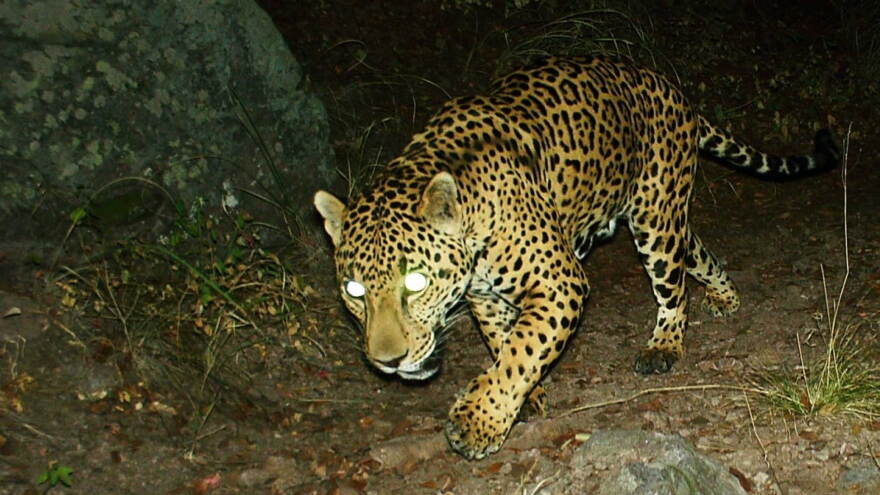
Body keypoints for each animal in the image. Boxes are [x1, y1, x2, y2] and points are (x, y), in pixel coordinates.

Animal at [314, 56, 838, 460]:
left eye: (416, 283)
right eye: (354, 291)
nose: (388, 362)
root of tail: (667, 85)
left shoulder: (559, 282)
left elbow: (522, 350)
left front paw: (478, 423)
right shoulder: (485, 297)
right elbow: (505, 343)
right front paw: (522, 399)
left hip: (655, 220)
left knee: (672, 288)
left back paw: (664, 346)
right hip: (666, 217)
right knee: (698, 251)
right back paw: (726, 297)